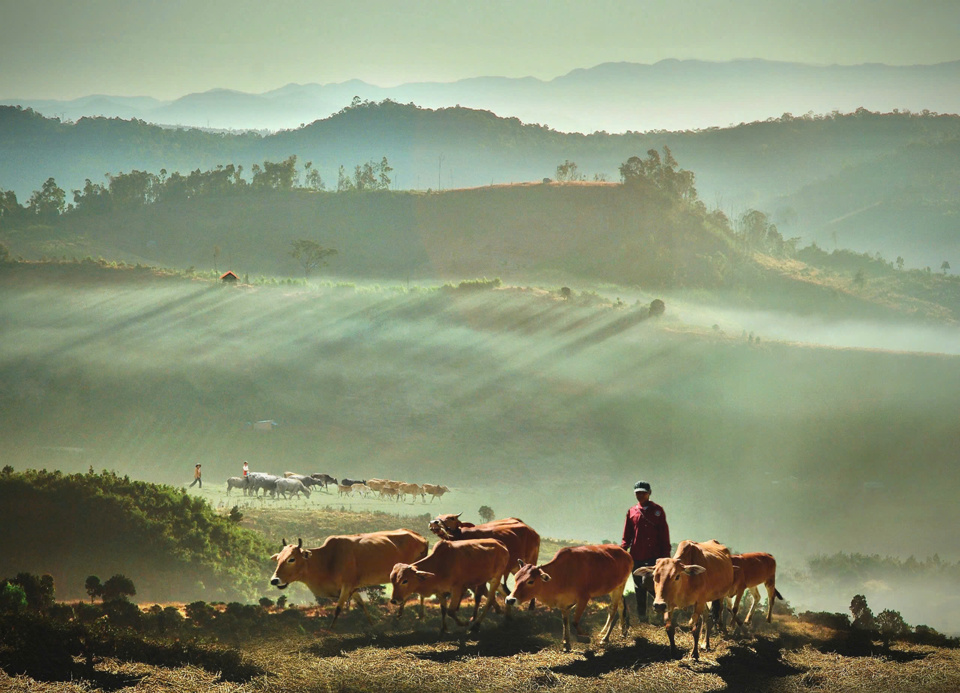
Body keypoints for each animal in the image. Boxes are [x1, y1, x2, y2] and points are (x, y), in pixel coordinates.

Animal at [270, 528, 428, 628]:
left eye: (291, 559)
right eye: (278, 558)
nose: (274, 580)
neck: (327, 560)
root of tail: (421, 537)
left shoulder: (346, 586)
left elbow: (338, 609)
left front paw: (330, 630)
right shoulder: (353, 587)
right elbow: (362, 605)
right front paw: (372, 625)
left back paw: (406, 618)